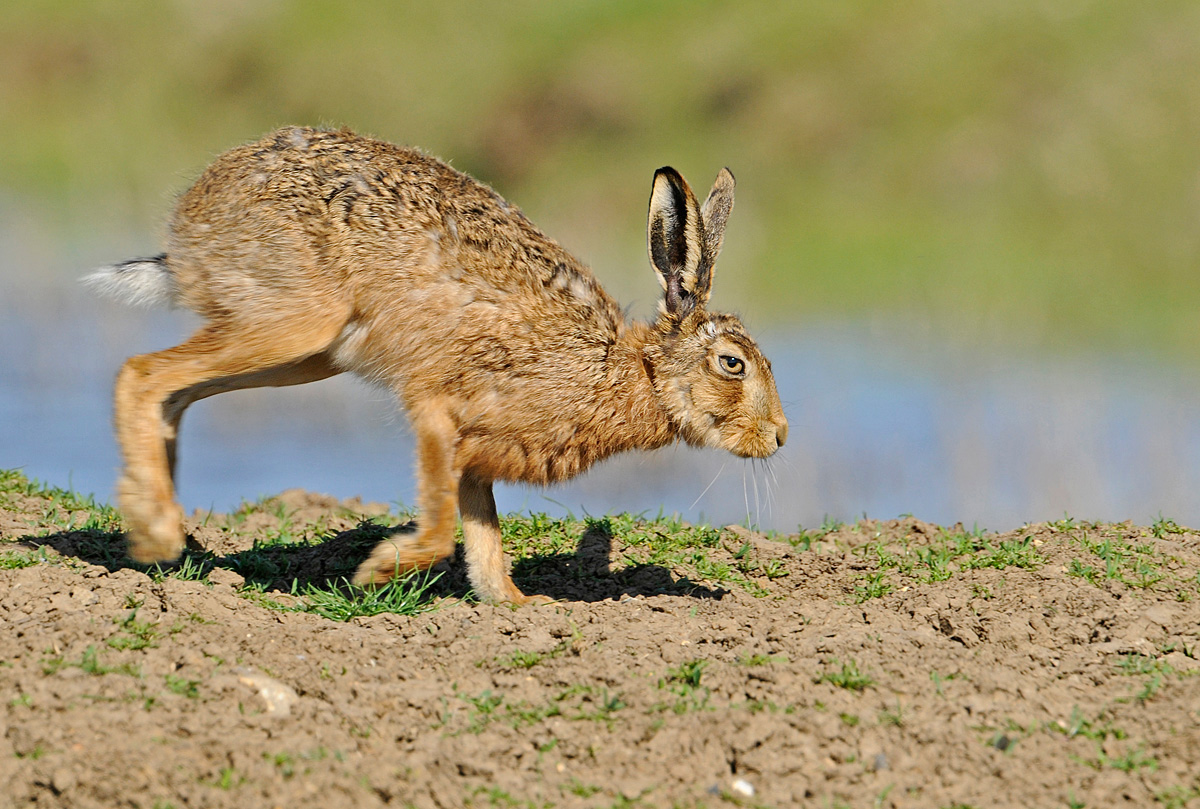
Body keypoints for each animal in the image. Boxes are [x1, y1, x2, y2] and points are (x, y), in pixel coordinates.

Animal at [85, 126, 788, 604]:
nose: (778, 436)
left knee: (174, 393)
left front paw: (519, 605)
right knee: (141, 373)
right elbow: (444, 527)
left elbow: (484, 536)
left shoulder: (478, 453)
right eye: (732, 364)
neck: (628, 370)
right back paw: (156, 535)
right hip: (293, 323)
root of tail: (191, 224)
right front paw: (376, 571)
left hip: (303, 352)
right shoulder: (437, 410)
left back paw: (162, 526)